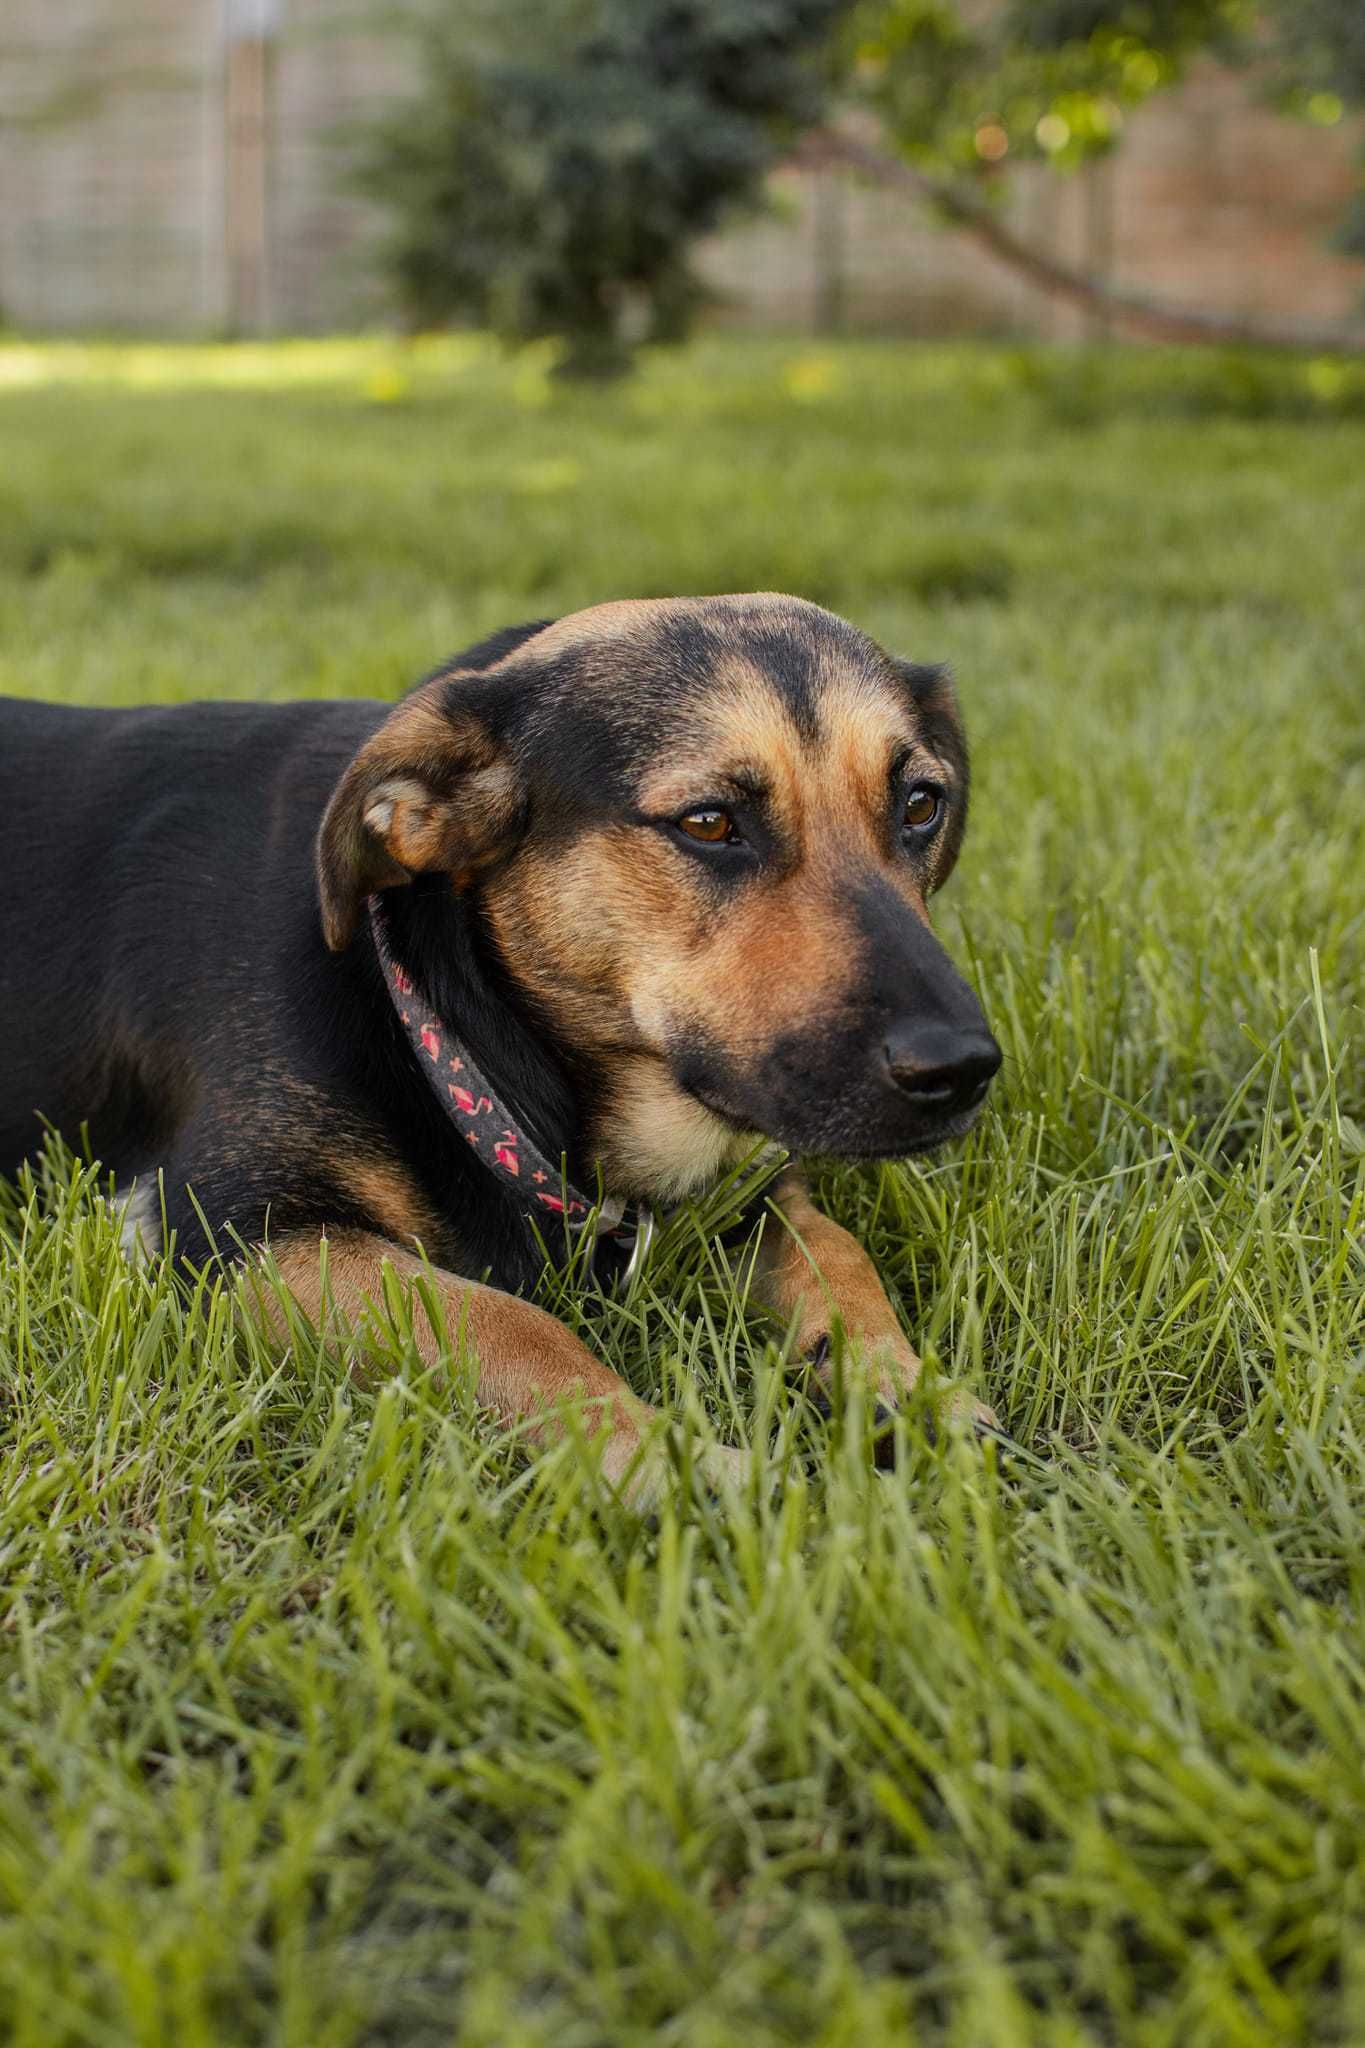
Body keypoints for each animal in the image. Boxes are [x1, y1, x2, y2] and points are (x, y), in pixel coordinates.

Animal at [0, 593, 1002, 1507]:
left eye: (920, 805)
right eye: (709, 822)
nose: (960, 1069)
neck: (444, 1022)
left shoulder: (752, 1183)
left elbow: (840, 1255)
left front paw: (909, 1390)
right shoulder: (231, 1228)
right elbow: (500, 1318)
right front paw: (659, 1457)